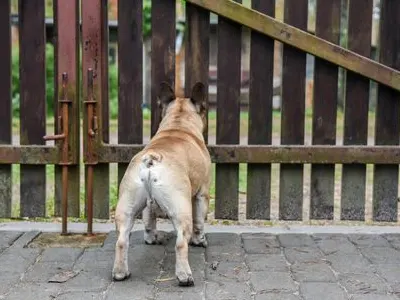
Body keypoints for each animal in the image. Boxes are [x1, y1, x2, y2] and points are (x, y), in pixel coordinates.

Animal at [111, 81, 212, 286]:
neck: (178, 125)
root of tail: (152, 158)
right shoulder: (202, 194)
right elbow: (200, 221)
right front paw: (200, 241)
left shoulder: (147, 206)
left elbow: (149, 220)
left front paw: (151, 238)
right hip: (181, 209)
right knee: (181, 243)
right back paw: (185, 276)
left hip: (127, 205)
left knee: (122, 240)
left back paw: (120, 272)